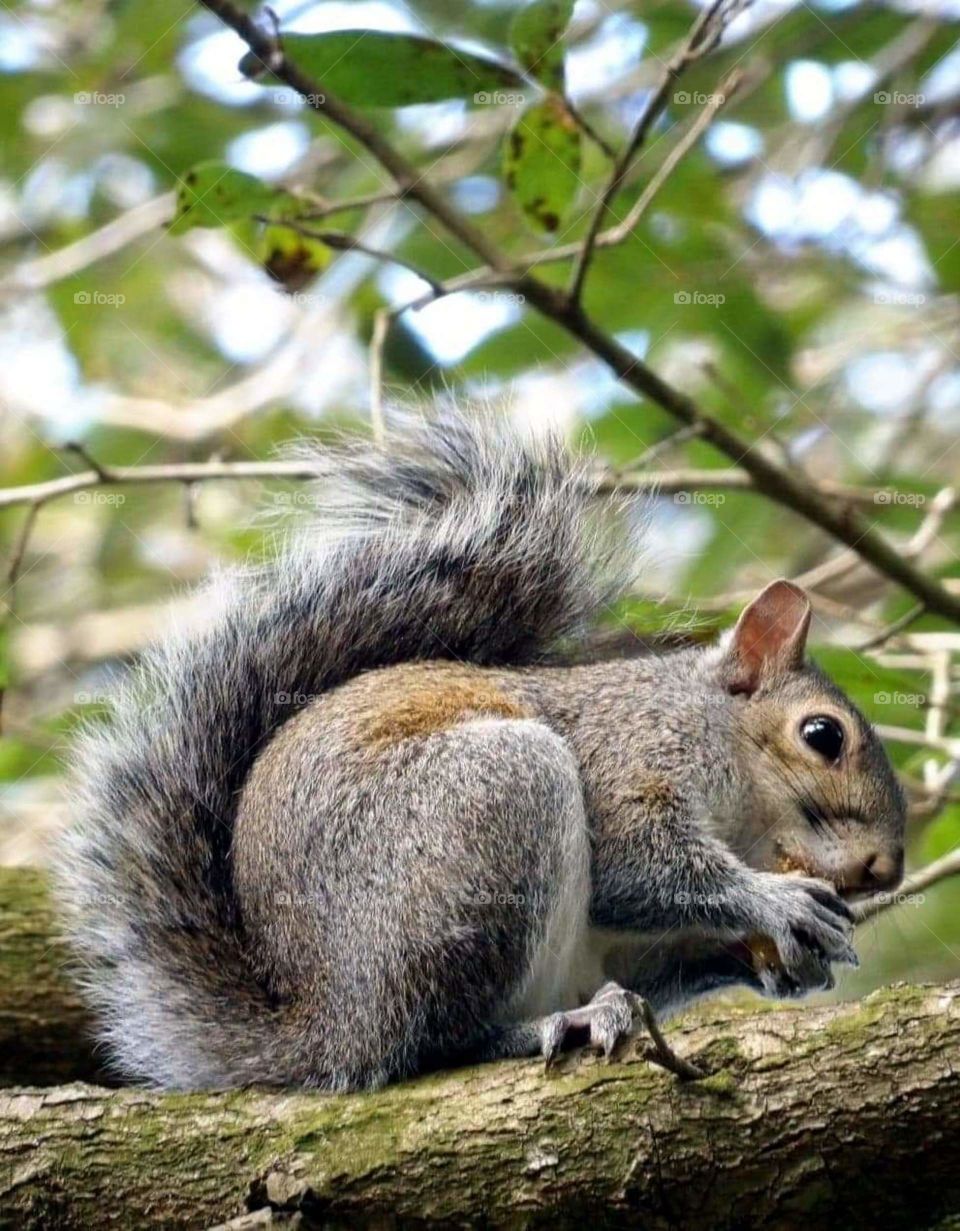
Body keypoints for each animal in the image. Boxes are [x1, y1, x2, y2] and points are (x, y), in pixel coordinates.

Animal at [57, 412, 906, 1091]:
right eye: (823, 735)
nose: (884, 871)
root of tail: (327, 1025)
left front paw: (789, 958)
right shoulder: (629, 756)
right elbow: (640, 868)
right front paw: (775, 901)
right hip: (488, 812)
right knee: (435, 1043)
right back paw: (537, 1028)